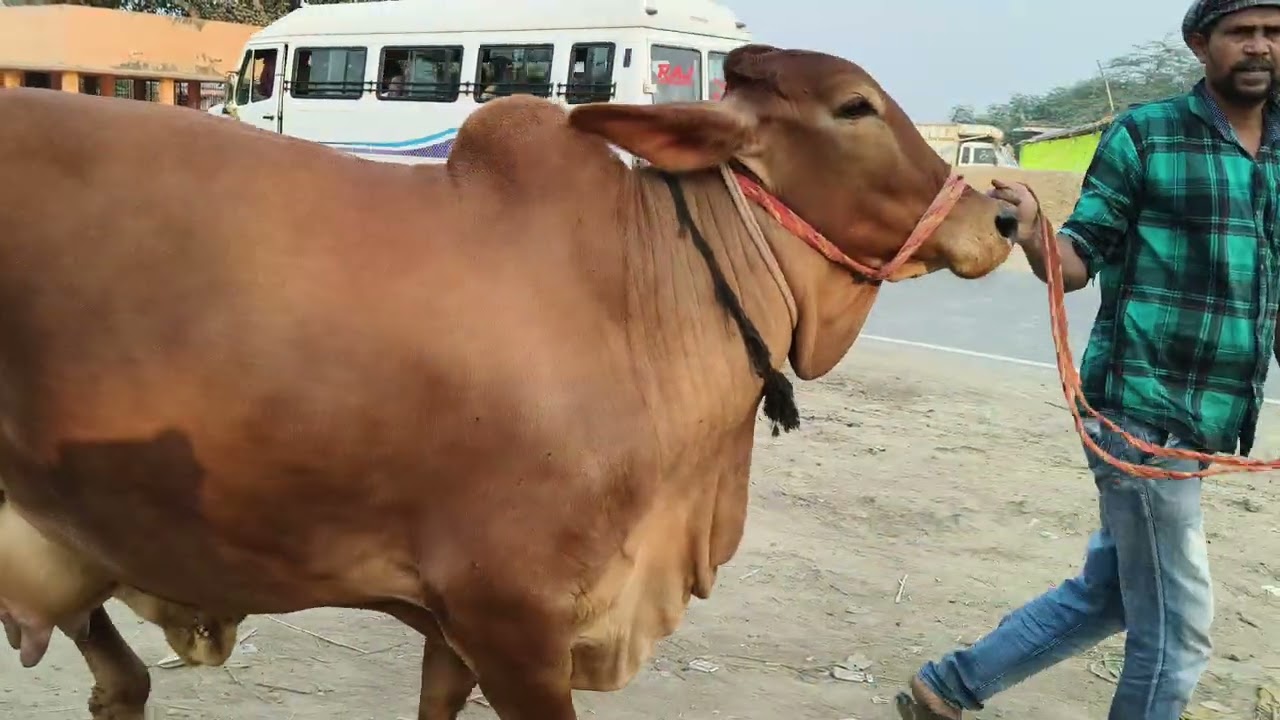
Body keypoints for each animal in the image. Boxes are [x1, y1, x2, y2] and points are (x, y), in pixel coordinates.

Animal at [0, 43, 1016, 719]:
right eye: (855, 108)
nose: (1001, 216)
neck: (643, 296)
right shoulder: (511, 619)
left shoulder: (453, 627)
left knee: (120, 680)